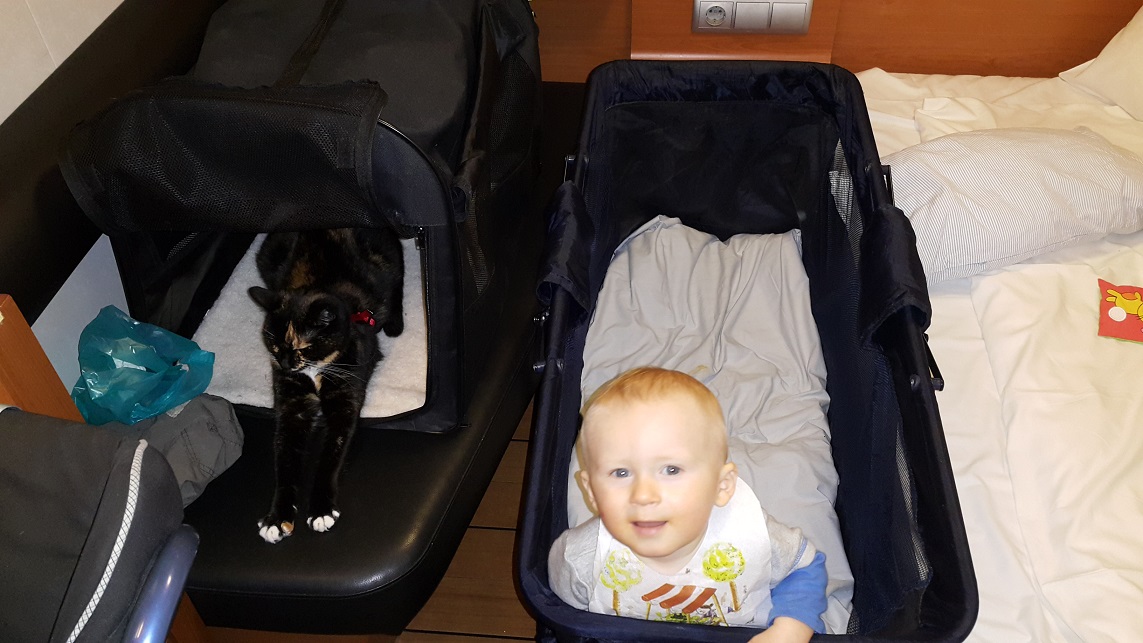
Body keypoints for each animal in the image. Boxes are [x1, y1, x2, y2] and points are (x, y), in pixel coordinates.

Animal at [248, 227, 404, 544]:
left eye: (303, 348)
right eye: (273, 346)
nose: (285, 364)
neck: (313, 371)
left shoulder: (344, 396)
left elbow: (330, 455)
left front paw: (321, 510)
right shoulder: (291, 406)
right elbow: (285, 459)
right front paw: (277, 518)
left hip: (388, 258)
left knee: (397, 283)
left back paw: (395, 322)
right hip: (267, 256)